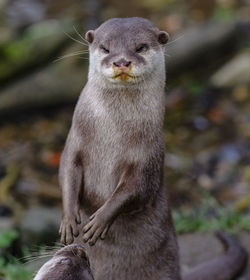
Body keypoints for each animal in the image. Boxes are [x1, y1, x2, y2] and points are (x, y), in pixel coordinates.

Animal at [58, 18, 246, 280]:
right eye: (105, 48)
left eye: (140, 47)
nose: (121, 61)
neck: (111, 134)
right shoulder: (75, 141)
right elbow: (66, 170)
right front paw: (68, 220)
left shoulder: (147, 157)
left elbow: (137, 189)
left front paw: (99, 221)